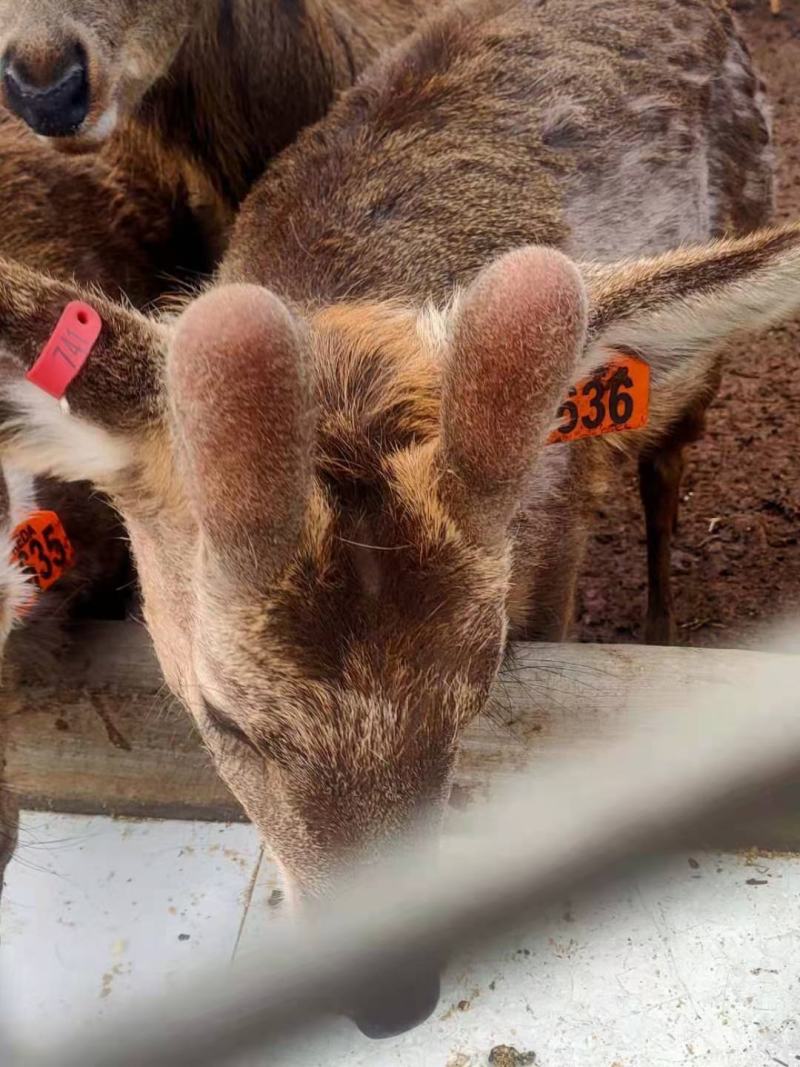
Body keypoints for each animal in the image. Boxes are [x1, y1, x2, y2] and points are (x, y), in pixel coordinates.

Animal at [0, 0, 797, 1032]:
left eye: (478, 691)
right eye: (222, 719)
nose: (392, 1001)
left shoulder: (557, 531)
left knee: (666, 470)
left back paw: (664, 624)